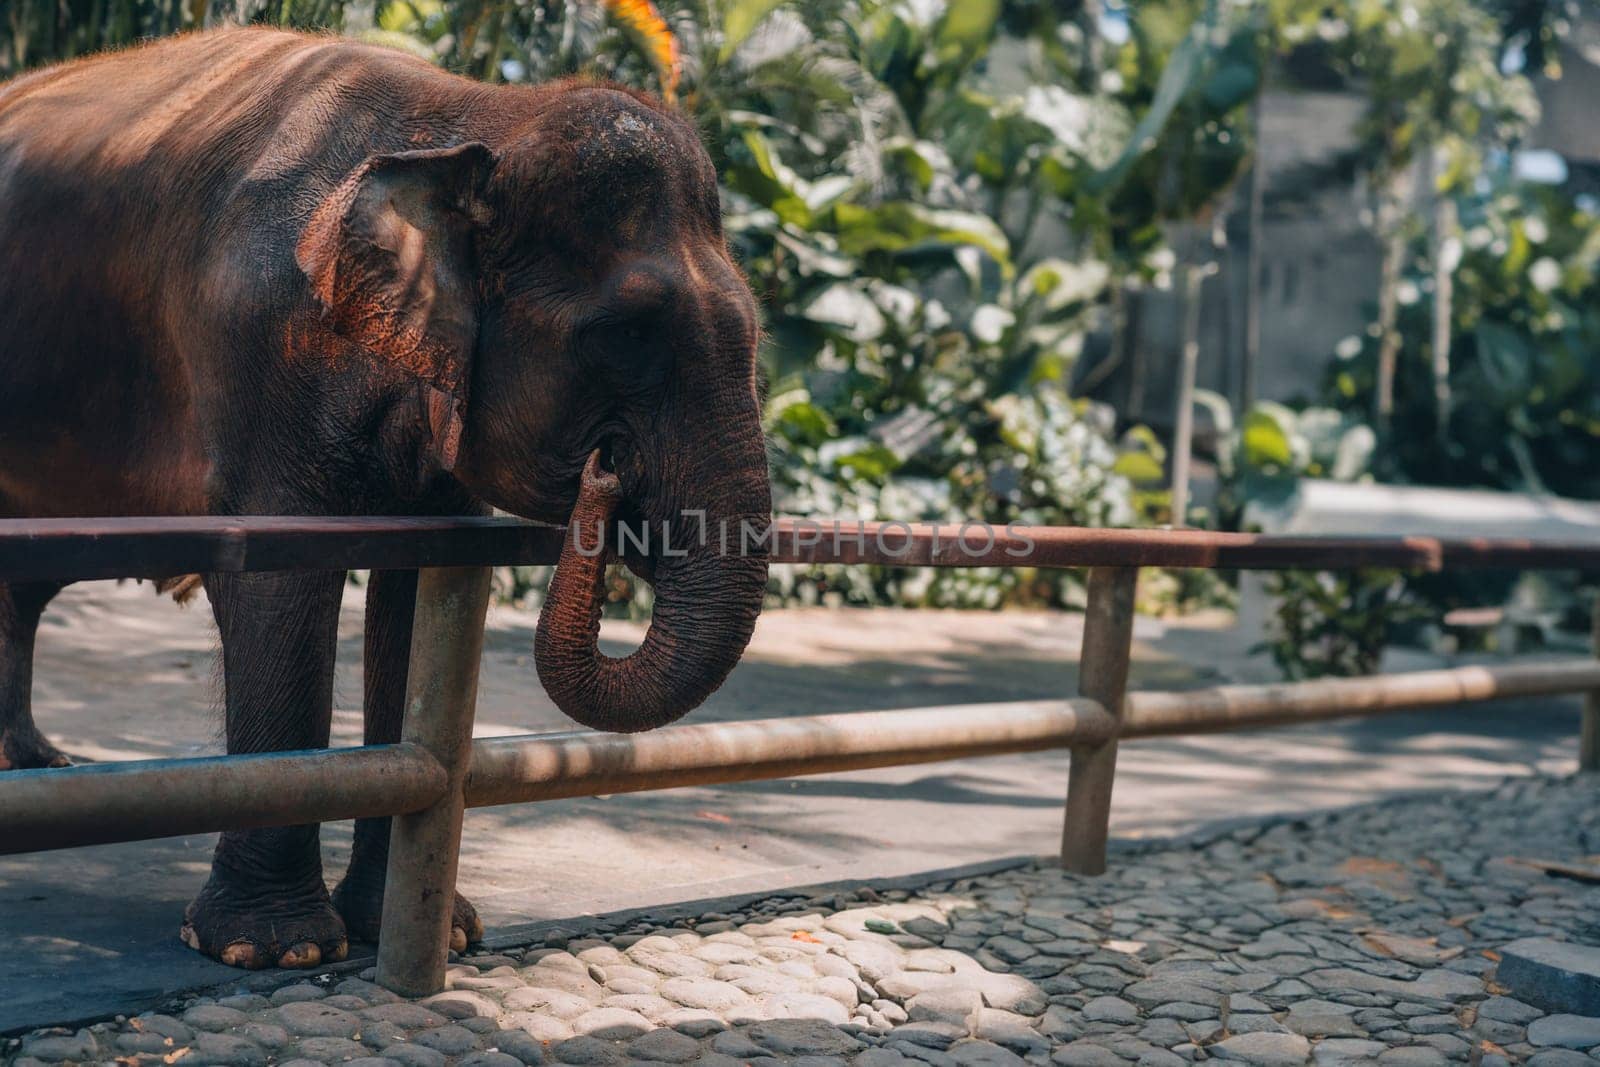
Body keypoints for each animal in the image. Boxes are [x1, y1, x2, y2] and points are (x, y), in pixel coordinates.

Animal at [0, 29, 774, 966]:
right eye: (625, 333)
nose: (606, 471)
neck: (474, 120)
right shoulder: (258, 346)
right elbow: (281, 584)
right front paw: (277, 948)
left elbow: (416, 592)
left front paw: (434, 931)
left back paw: (38, 765)